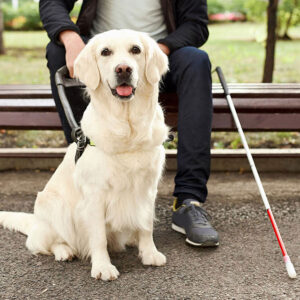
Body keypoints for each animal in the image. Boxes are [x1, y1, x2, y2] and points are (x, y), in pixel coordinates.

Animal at [0, 29, 169, 282]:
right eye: (105, 52)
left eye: (136, 50)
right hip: (52, 204)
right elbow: (98, 237)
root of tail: (35, 222)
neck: (127, 127)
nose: (123, 69)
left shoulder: (148, 187)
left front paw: (149, 253)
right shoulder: (95, 194)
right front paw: (102, 267)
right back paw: (64, 251)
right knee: (44, 243)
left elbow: (146, 224)